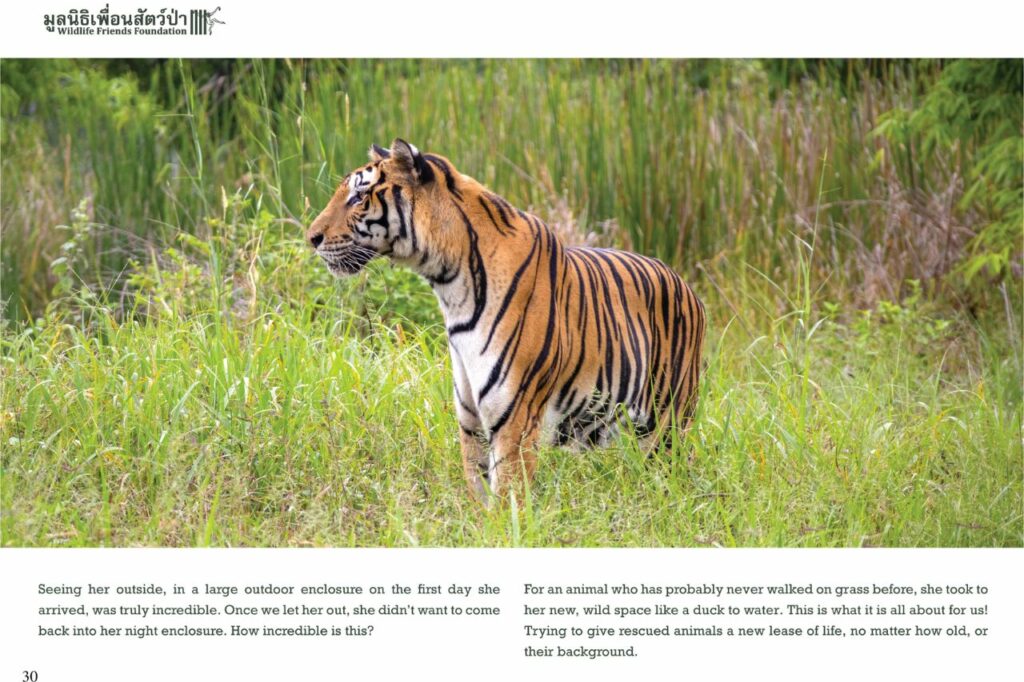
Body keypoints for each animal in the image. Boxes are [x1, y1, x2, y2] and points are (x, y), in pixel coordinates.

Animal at [307, 139, 705, 503]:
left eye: (359, 197)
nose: (311, 237)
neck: (449, 286)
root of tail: (688, 287)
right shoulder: (470, 420)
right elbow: (478, 494)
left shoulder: (515, 417)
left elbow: (507, 499)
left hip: (667, 423)